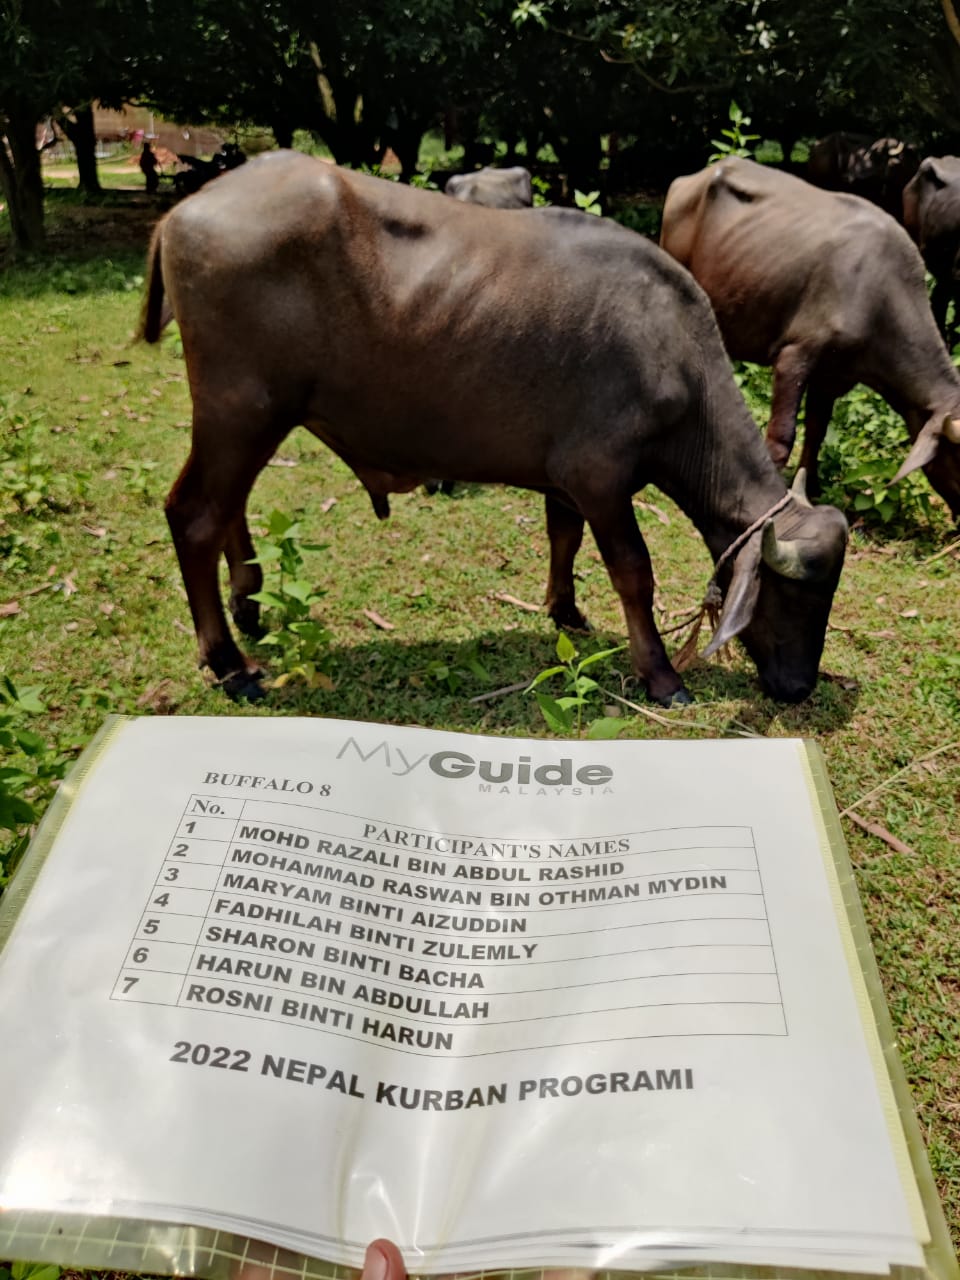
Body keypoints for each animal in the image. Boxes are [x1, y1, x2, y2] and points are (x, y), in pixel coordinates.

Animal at [141, 151, 847, 706]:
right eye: (796, 598)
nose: (799, 687)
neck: (669, 348)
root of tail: (187, 211)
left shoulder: (565, 479)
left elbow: (564, 539)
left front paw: (565, 610)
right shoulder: (601, 479)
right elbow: (633, 571)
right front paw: (661, 675)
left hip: (249, 419)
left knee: (229, 505)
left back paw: (249, 606)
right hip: (243, 409)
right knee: (196, 515)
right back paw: (229, 662)